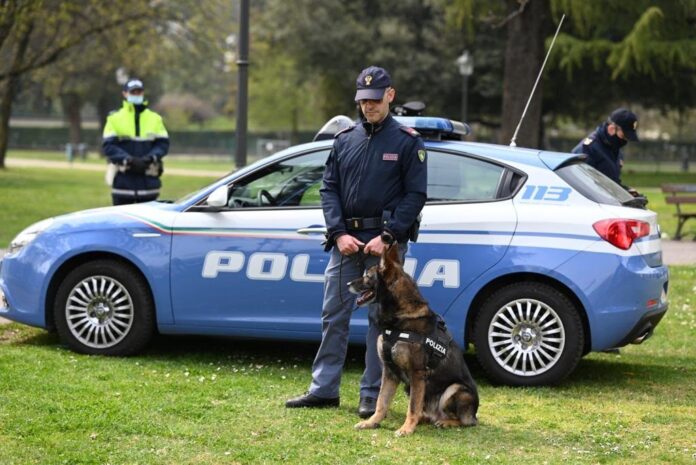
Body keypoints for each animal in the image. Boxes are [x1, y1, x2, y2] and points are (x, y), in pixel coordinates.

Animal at [348, 243, 478, 436]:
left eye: (367, 276)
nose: (348, 283)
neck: (401, 318)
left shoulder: (416, 373)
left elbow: (412, 407)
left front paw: (406, 429)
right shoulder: (389, 372)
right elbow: (381, 402)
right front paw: (371, 422)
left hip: (455, 389)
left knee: (464, 421)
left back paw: (445, 422)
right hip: (409, 387)